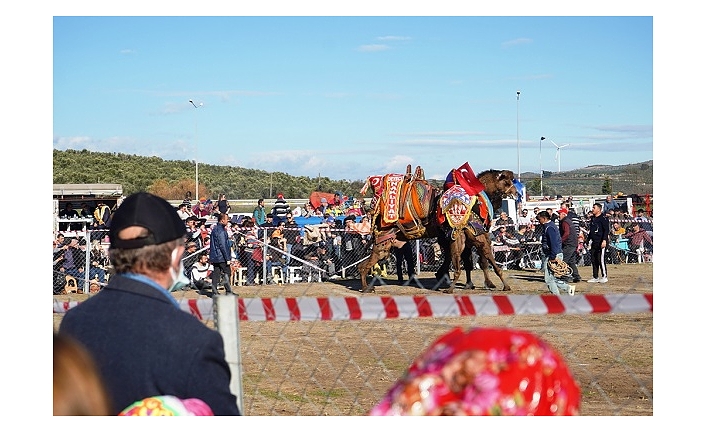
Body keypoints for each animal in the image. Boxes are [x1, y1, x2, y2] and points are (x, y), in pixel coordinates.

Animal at [358, 164, 516, 296]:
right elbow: (479, 257)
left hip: (387, 241)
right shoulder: (469, 234)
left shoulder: (456, 236)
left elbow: (468, 260)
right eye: (508, 182)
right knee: (366, 264)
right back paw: (366, 287)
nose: (515, 193)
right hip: (384, 240)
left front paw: (469, 283)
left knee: (366, 263)